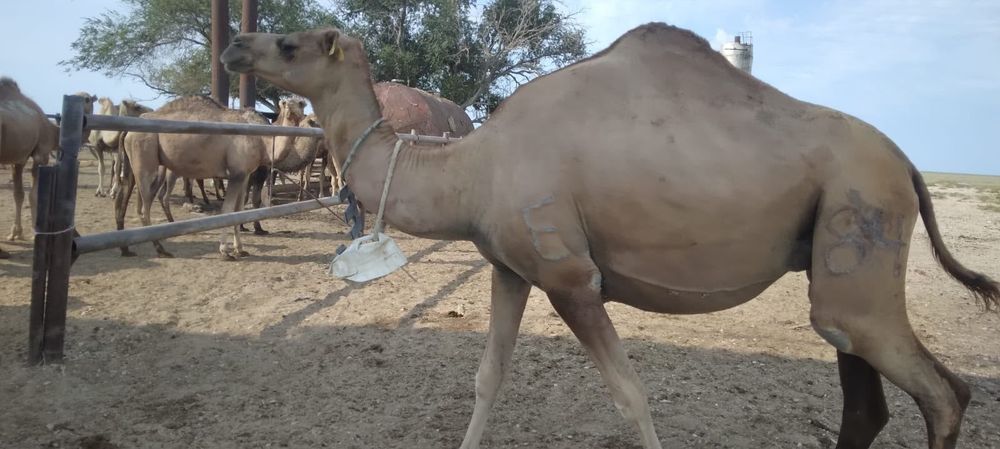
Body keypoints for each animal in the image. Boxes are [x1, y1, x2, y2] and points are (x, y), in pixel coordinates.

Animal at [0, 77, 59, 258]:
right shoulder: (42, 152)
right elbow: (34, 194)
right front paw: (35, 232)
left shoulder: (19, 158)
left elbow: (18, 194)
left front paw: (15, 233)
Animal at [121, 96, 275, 259]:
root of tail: (128, 133)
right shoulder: (237, 173)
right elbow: (228, 210)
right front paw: (225, 251)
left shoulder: (244, 174)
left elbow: (239, 210)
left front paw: (239, 249)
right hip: (144, 160)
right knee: (144, 208)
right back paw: (160, 248)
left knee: (141, 201)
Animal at [221, 24, 1000, 449]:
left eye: (289, 42)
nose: (232, 46)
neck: (472, 167)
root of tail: (906, 162)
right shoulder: (510, 268)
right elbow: (487, 377)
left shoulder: (571, 277)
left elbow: (631, 395)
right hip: (837, 256)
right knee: (863, 391)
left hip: (861, 216)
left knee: (942, 392)